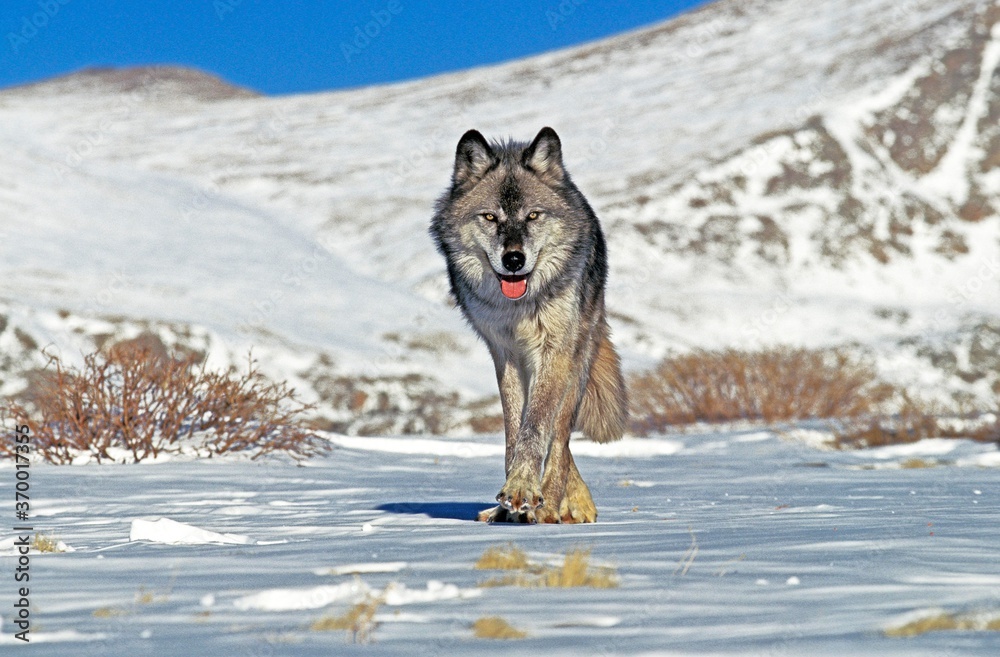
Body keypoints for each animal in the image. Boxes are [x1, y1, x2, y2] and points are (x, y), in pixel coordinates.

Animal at [430, 127, 627, 524]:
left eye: (533, 215)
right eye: (490, 218)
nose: (514, 259)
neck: (517, 306)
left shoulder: (554, 350)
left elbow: (537, 427)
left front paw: (527, 492)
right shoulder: (503, 352)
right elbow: (514, 430)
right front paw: (511, 501)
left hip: (576, 360)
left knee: (561, 436)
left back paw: (552, 505)